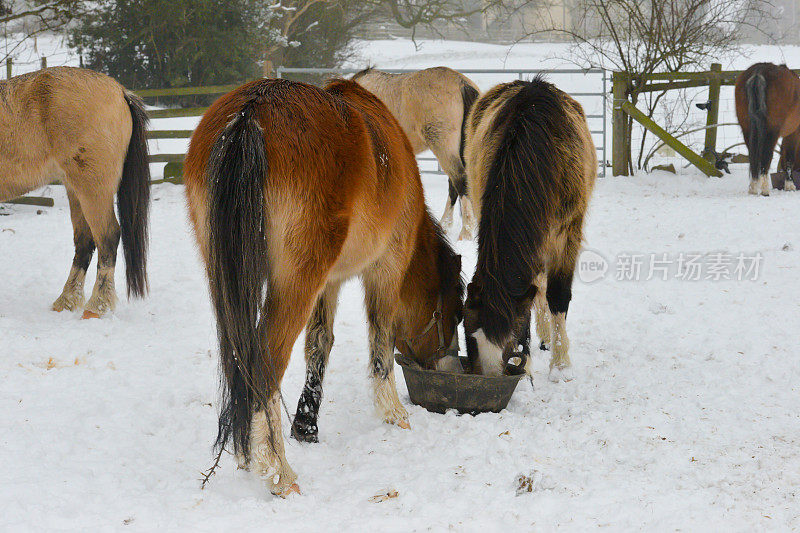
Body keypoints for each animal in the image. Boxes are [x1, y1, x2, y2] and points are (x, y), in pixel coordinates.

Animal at [184, 77, 462, 496]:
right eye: (454, 314)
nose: (450, 366)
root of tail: (251, 112)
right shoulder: (385, 268)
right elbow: (381, 339)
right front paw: (393, 412)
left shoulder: (327, 282)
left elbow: (319, 344)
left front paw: (306, 426)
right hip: (295, 282)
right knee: (264, 365)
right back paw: (278, 472)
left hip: (228, 277)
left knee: (241, 361)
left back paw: (250, 454)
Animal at [460, 76, 596, 382]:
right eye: (469, 337)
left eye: (509, 340)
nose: (492, 375)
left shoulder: (566, 235)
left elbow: (557, 296)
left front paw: (561, 366)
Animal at [736, 62, 800, 195]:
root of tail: (758, 71)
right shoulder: (793, 133)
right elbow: (789, 157)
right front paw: (790, 185)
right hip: (771, 131)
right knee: (766, 156)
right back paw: (764, 189)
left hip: (747, 130)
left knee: (753, 157)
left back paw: (753, 187)